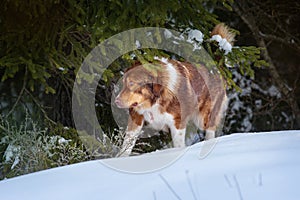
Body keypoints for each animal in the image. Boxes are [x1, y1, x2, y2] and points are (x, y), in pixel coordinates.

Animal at [114, 24, 232, 156]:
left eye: (132, 83)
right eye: (123, 83)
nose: (116, 101)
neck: (156, 99)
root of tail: (215, 65)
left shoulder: (178, 123)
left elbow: (178, 145)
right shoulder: (136, 117)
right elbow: (127, 144)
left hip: (204, 117)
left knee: (210, 131)